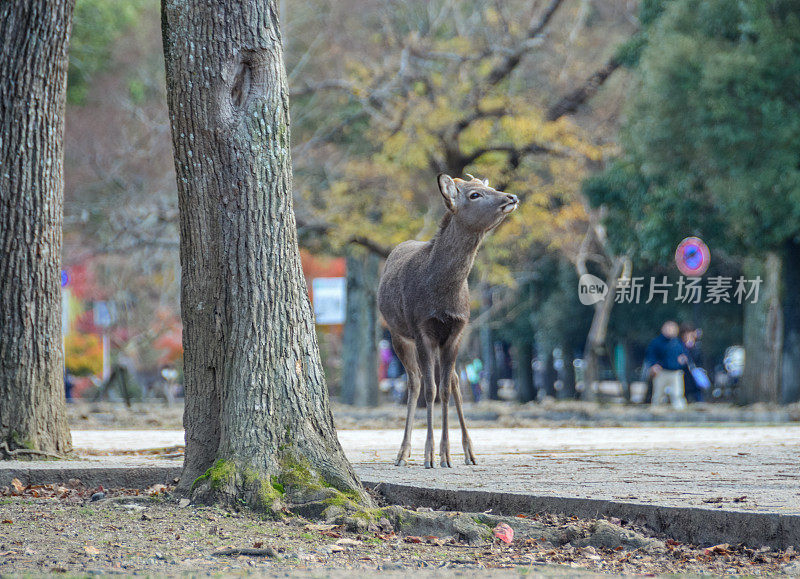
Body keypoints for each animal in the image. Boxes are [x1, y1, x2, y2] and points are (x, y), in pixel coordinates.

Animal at [380, 174, 520, 468]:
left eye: (490, 187)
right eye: (475, 194)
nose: (511, 197)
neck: (443, 294)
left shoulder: (457, 329)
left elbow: (445, 388)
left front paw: (446, 454)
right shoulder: (422, 328)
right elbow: (430, 390)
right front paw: (430, 455)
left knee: (454, 379)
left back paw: (469, 452)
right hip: (398, 334)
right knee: (414, 382)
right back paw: (402, 453)